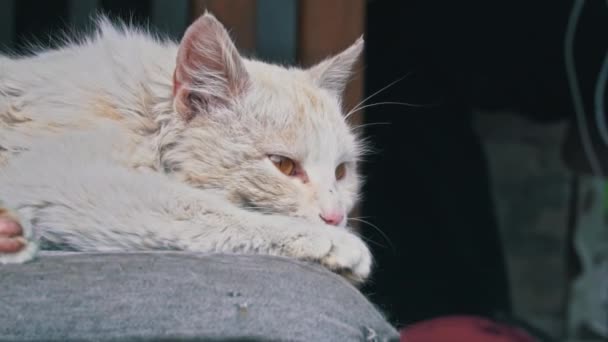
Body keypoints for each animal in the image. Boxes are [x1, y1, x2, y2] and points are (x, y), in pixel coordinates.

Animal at [0, 12, 370, 282]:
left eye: (341, 172)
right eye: (283, 165)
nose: (336, 218)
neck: (140, 115)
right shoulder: (56, 179)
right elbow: (205, 210)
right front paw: (335, 242)